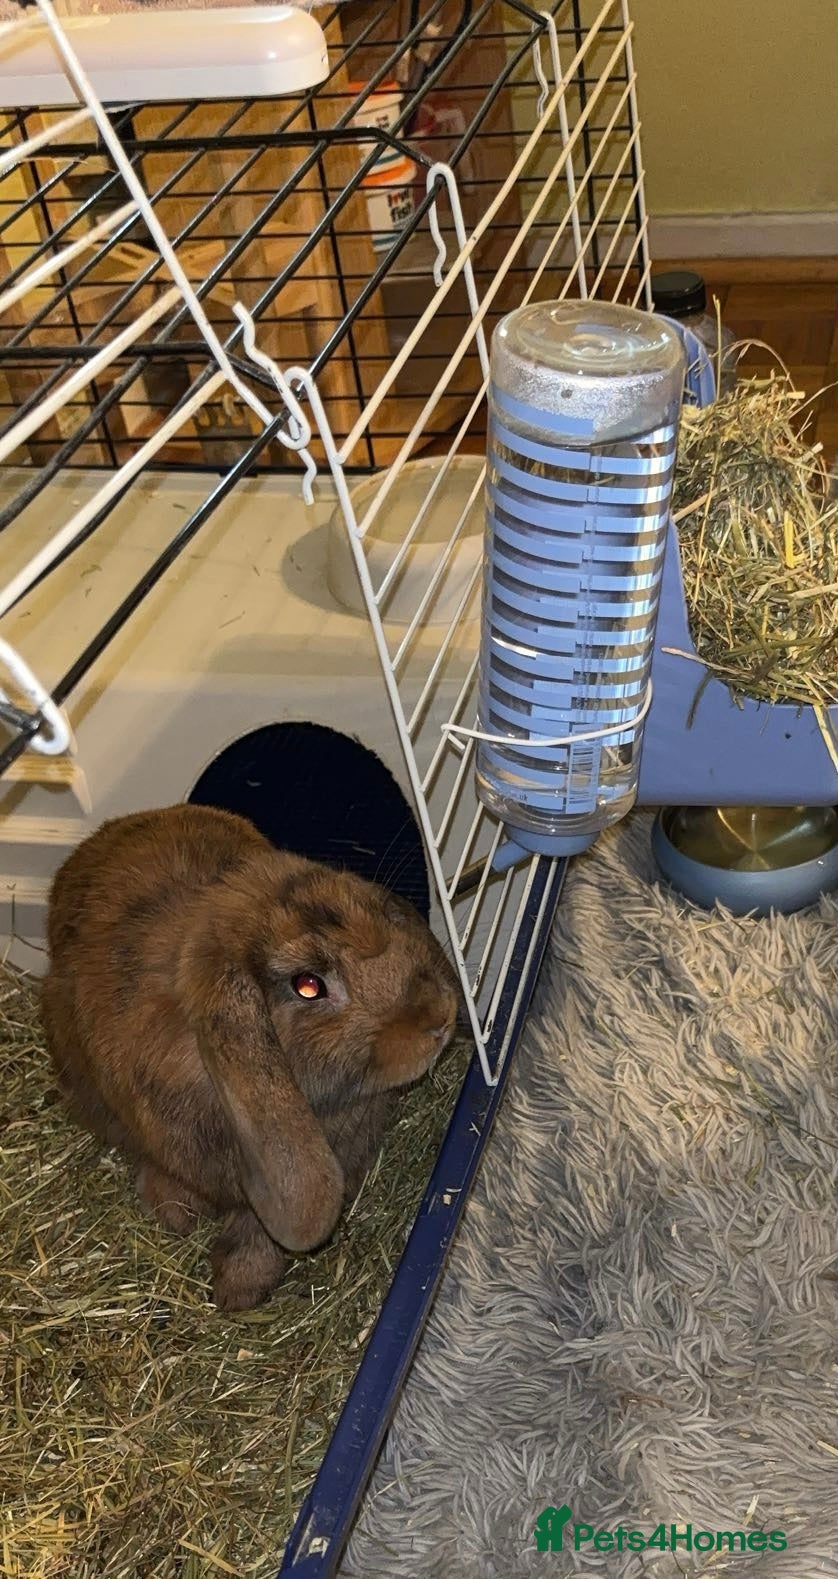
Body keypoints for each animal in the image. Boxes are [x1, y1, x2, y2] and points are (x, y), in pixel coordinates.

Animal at [41, 803, 459, 1312]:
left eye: (383, 916)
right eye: (308, 985)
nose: (440, 1017)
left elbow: (257, 1233)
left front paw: (238, 1290)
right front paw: (178, 1219)